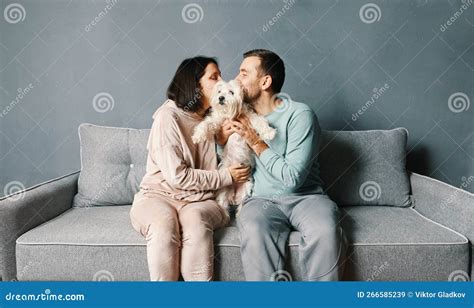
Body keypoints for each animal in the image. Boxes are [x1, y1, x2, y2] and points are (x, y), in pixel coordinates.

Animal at [191, 80, 276, 215]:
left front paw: (269, 133)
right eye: (219, 91)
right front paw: (197, 136)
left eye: (231, 92)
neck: (230, 114)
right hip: (222, 193)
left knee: (241, 208)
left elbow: (260, 122)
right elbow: (207, 124)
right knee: (224, 208)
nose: (221, 97)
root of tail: (234, 195)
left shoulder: (250, 118)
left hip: (246, 191)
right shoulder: (218, 121)